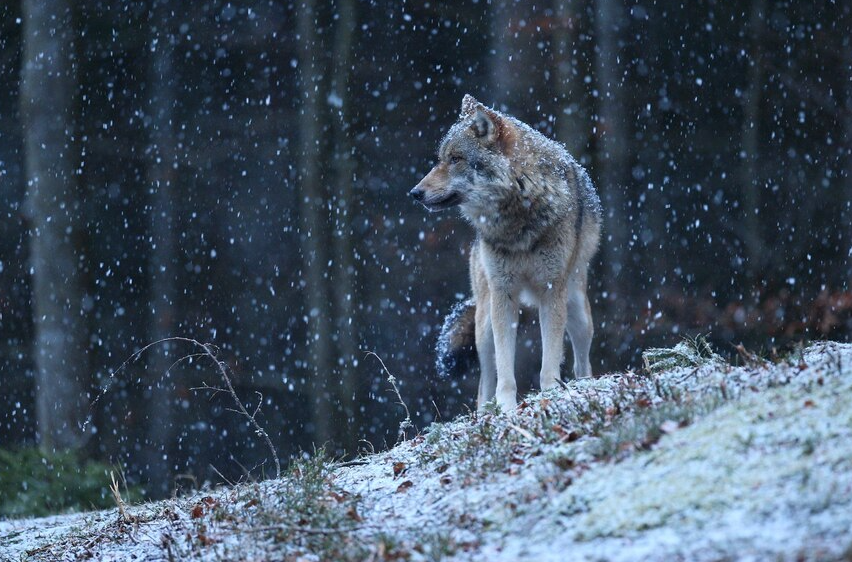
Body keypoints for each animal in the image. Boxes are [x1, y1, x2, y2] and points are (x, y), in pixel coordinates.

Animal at [412, 95, 600, 412]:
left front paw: (550, 393)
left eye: (455, 159)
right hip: (484, 323)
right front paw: (507, 406)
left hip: (578, 312)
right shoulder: (503, 294)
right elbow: (504, 366)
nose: (414, 193)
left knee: (582, 363)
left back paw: (583, 385)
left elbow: (550, 358)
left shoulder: (552, 291)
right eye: (441, 158)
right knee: (484, 382)